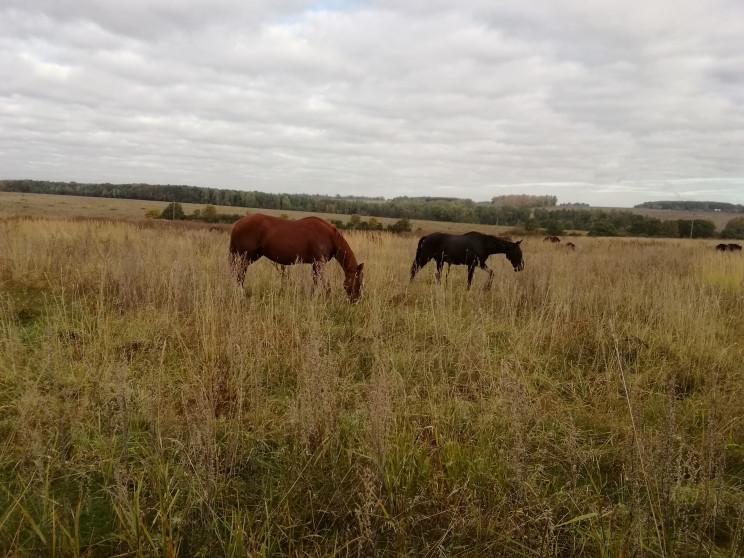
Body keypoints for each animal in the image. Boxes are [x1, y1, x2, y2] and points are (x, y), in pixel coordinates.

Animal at [228, 214, 364, 302]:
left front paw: (313, 298)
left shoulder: (315, 264)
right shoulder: (320, 263)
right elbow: (325, 283)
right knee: (239, 275)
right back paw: (241, 294)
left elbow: (316, 282)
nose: (356, 300)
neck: (330, 236)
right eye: (358, 280)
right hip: (245, 257)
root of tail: (236, 224)